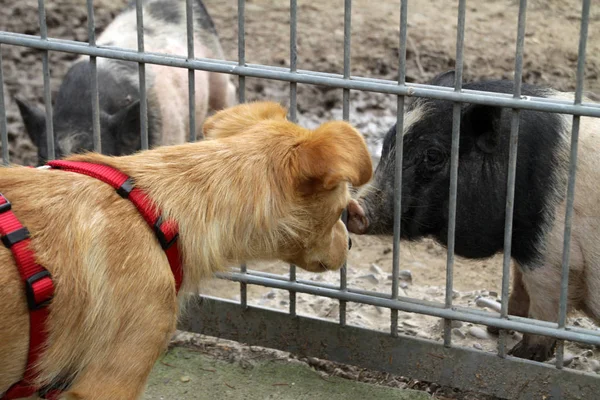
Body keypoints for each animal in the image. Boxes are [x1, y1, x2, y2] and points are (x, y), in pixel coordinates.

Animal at [344, 69, 600, 362]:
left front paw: (524, 354)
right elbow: (518, 284)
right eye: (387, 143)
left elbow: (544, 306)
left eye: (433, 155)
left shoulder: (551, 256)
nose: (354, 207)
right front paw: (494, 327)